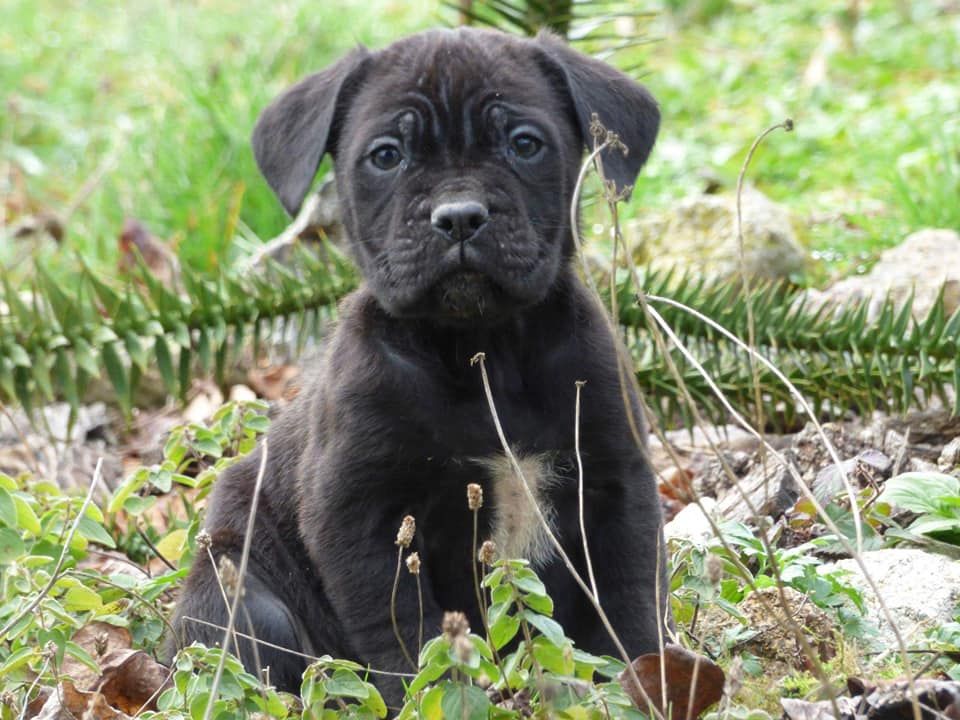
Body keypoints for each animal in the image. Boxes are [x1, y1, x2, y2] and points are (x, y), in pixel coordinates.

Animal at [171, 26, 668, 696]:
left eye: (524, 144)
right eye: (386, 156)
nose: (459, 216)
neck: (483, 352)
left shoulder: (614, 480)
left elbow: (628, 595)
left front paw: (650, 676)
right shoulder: (362, 514)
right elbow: (404, 629)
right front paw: (437, 692)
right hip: (243, 601)